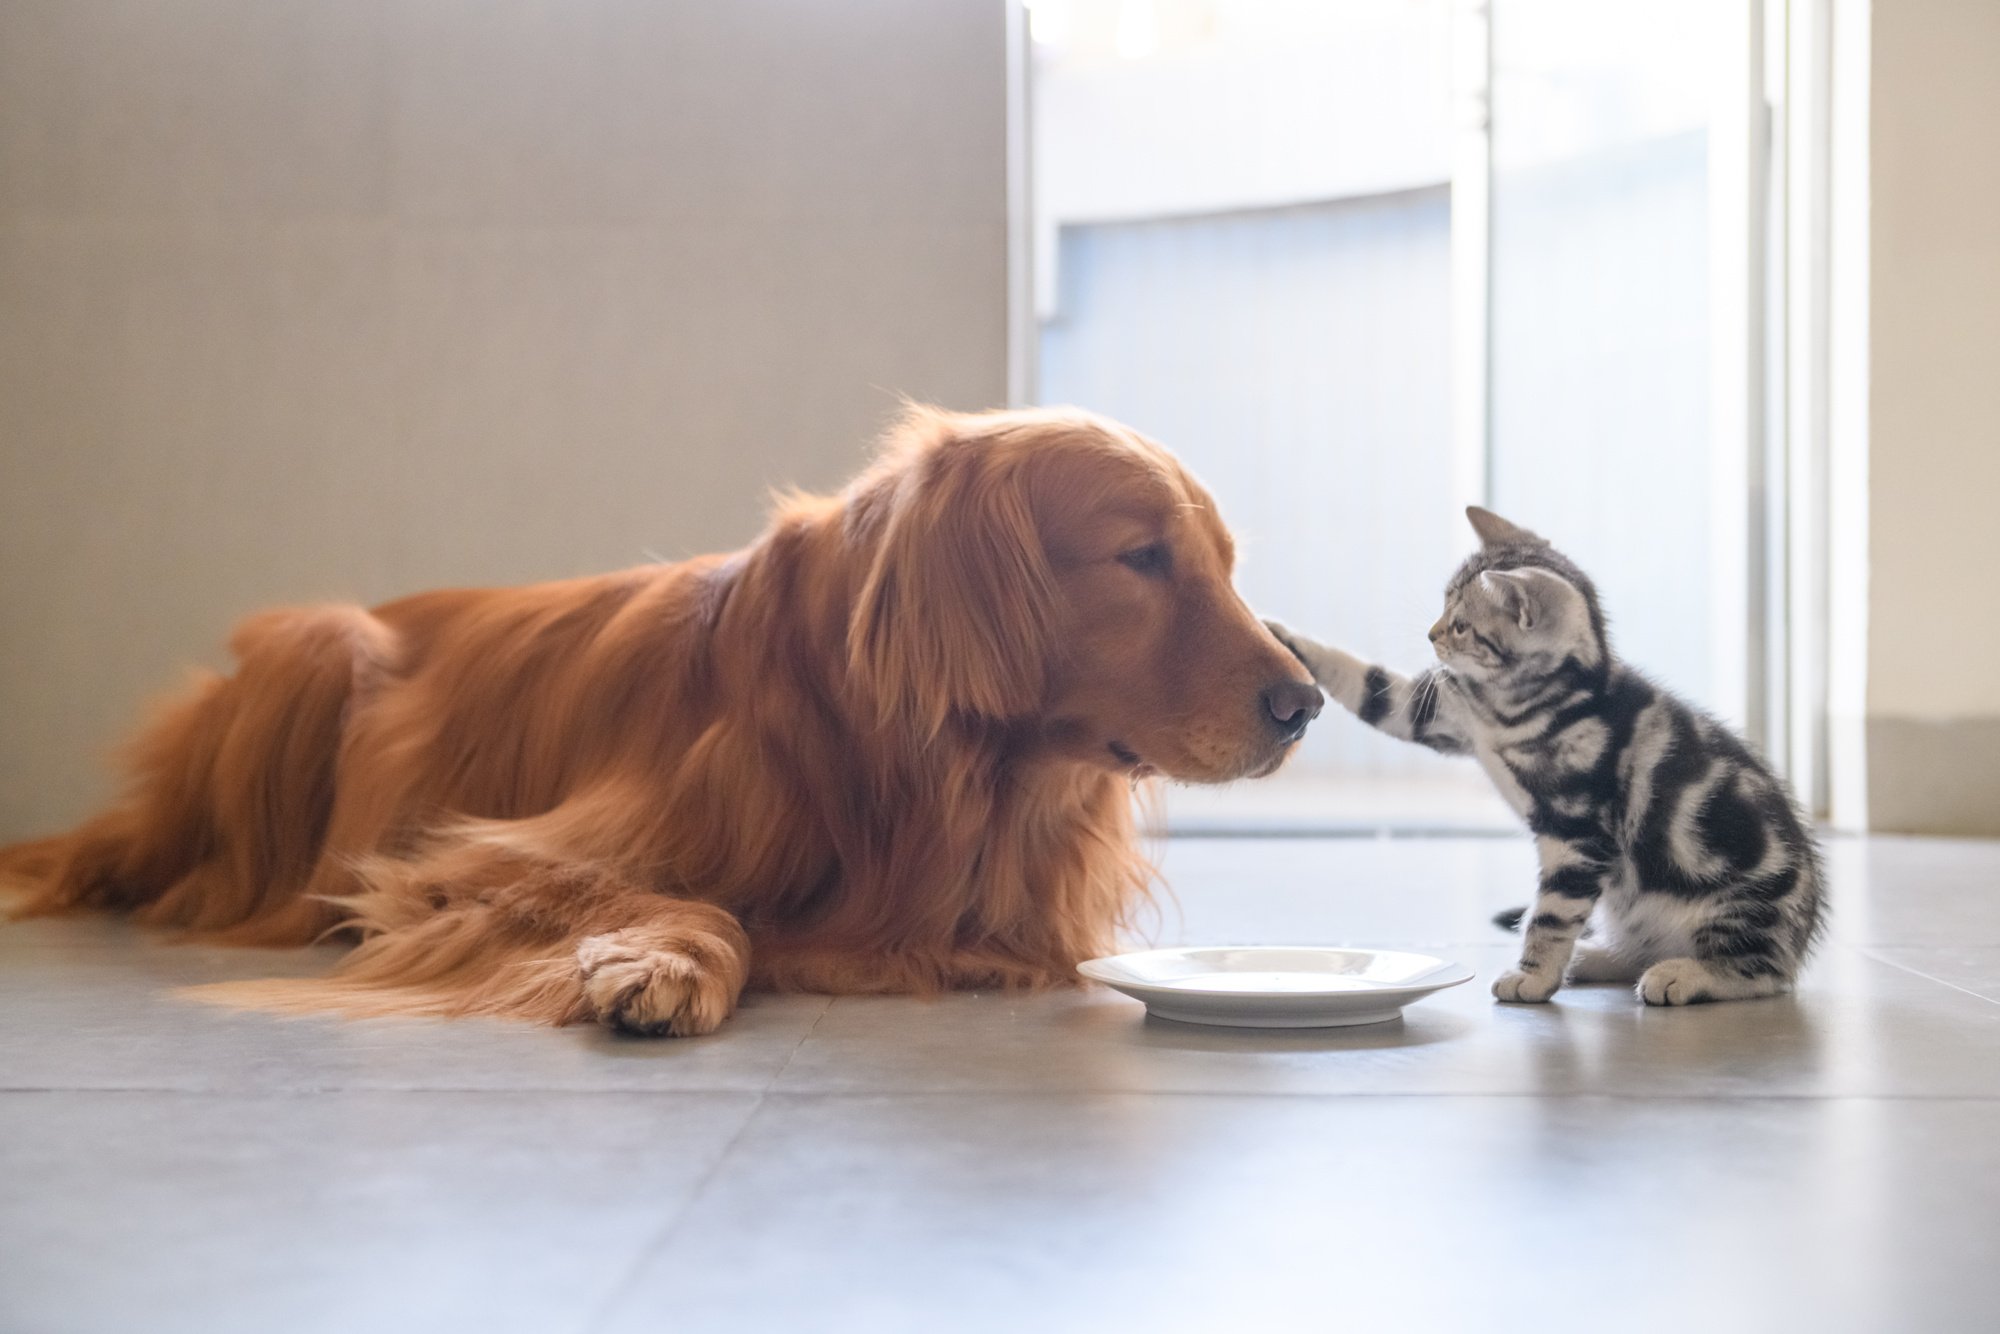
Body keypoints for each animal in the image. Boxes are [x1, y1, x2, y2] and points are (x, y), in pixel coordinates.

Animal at [1272, 506, 1824, 1008]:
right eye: (1444, 607)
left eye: (1461, 625)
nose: (1431, 634)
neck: (1518, 707)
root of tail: (1800, 938)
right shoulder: (1440, 713)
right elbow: (1368, 685)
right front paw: (1282, 636)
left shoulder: (1578, 833)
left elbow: (1553, 914)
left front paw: (1532, 977)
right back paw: (1598, 957)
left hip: (1738, 904)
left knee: (1762, 972)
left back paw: (1683, 974)